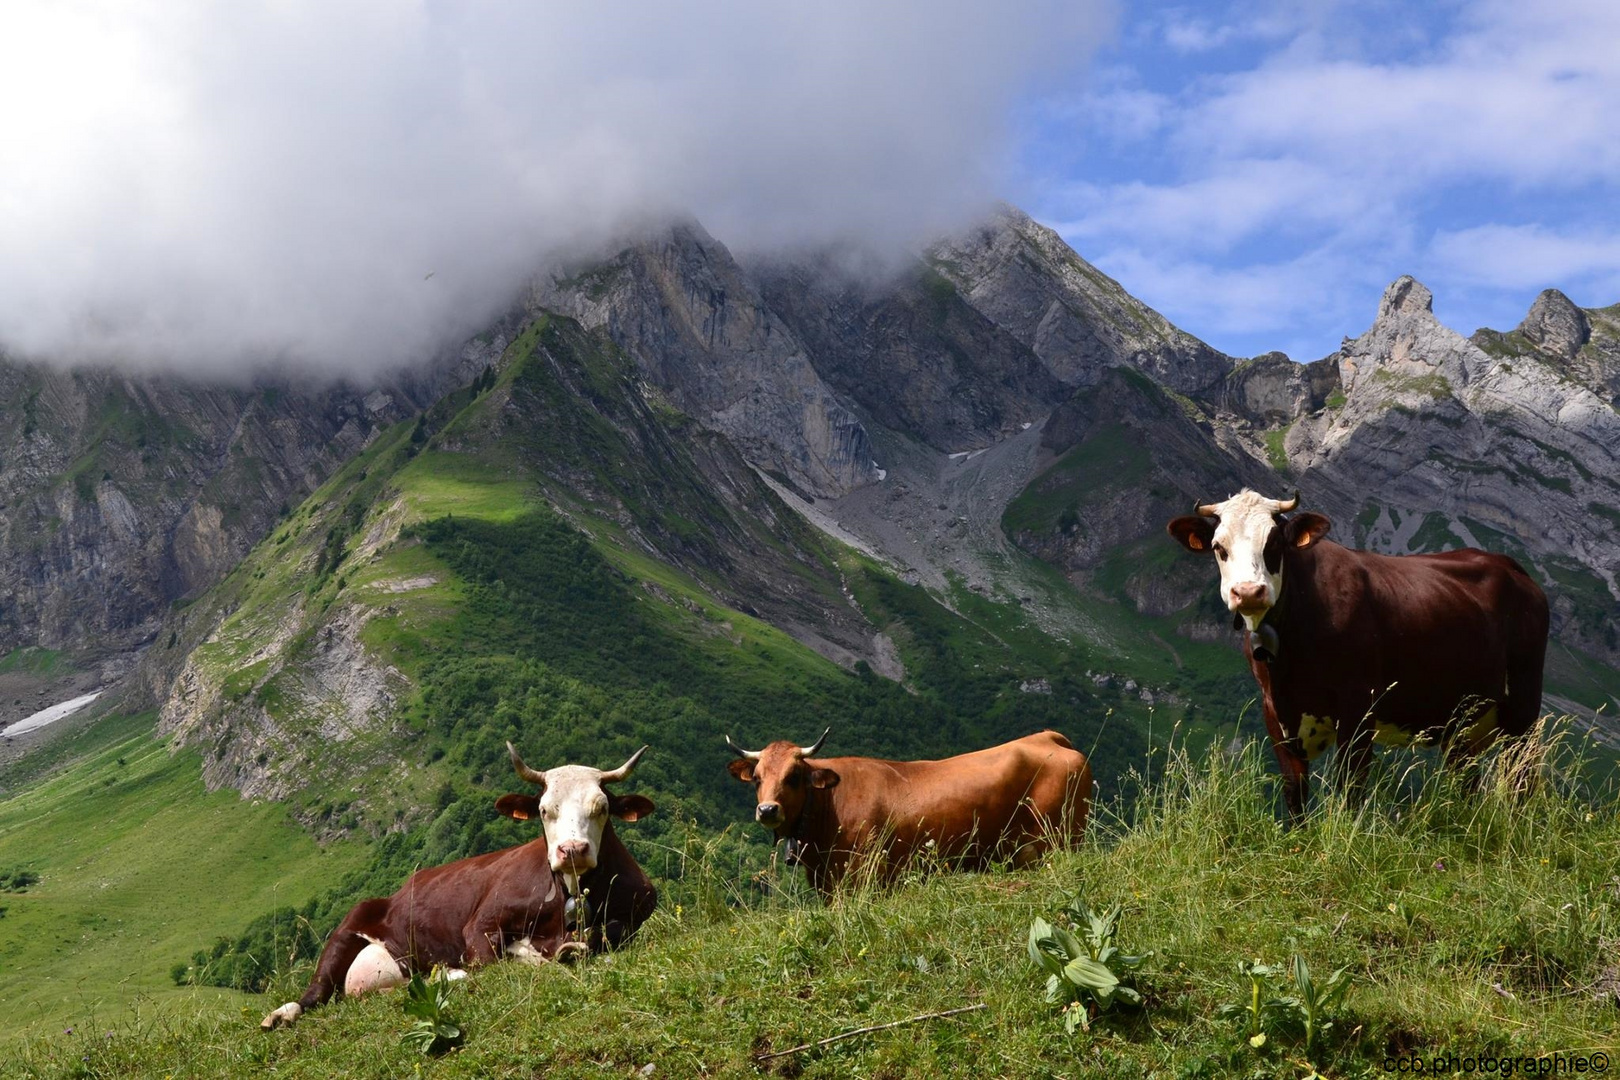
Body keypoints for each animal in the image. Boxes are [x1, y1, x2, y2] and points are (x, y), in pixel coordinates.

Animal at [259, 744, 651, 1029]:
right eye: (543, 810)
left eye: (601, 808)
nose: (571, 850)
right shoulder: (481, 924)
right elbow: (491, 962)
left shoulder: (637, 909)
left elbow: (606, 932)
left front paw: (568, 949)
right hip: (349, 926)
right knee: (318, 990)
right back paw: (280, 1014)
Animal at [722, 731, 1088, 900]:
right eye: (757, 778)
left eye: (794, 776)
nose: (768, 809)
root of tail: (1046, 737)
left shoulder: (862, 877)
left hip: (1061, 840)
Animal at [1172, 488, 1548, 819]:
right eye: (1219, 547)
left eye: (1274, 543)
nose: (1249, 591)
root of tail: (1508, 565)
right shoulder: (1275, 713)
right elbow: (1294, 794)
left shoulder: (1358, 707)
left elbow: (1350, 790)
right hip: (1462, 721)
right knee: (1467, 779)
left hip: (1523, 708)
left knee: (1522, 778)